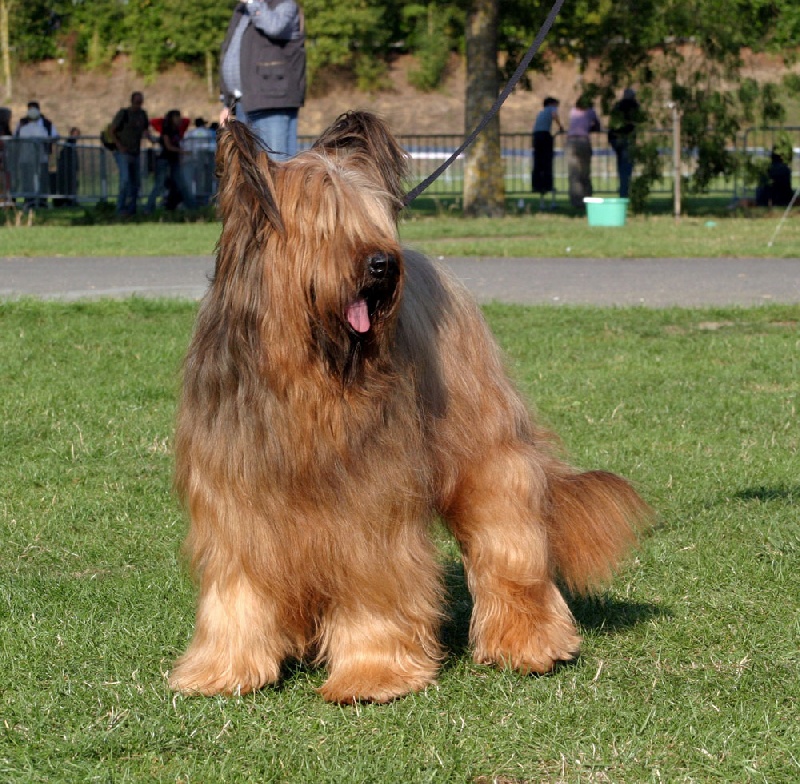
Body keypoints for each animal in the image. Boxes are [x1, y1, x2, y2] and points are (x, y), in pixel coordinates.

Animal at [169, 113, 648, 708]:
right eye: (326, 222)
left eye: (371, 218)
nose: (382, 264)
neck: (306, 374)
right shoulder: (233, 493)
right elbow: (237, 586)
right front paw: (224, 668)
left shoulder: (370, 499)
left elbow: (375, 581)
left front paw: (372, 674)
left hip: (485, 452)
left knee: (509, 541)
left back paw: (530, 642)